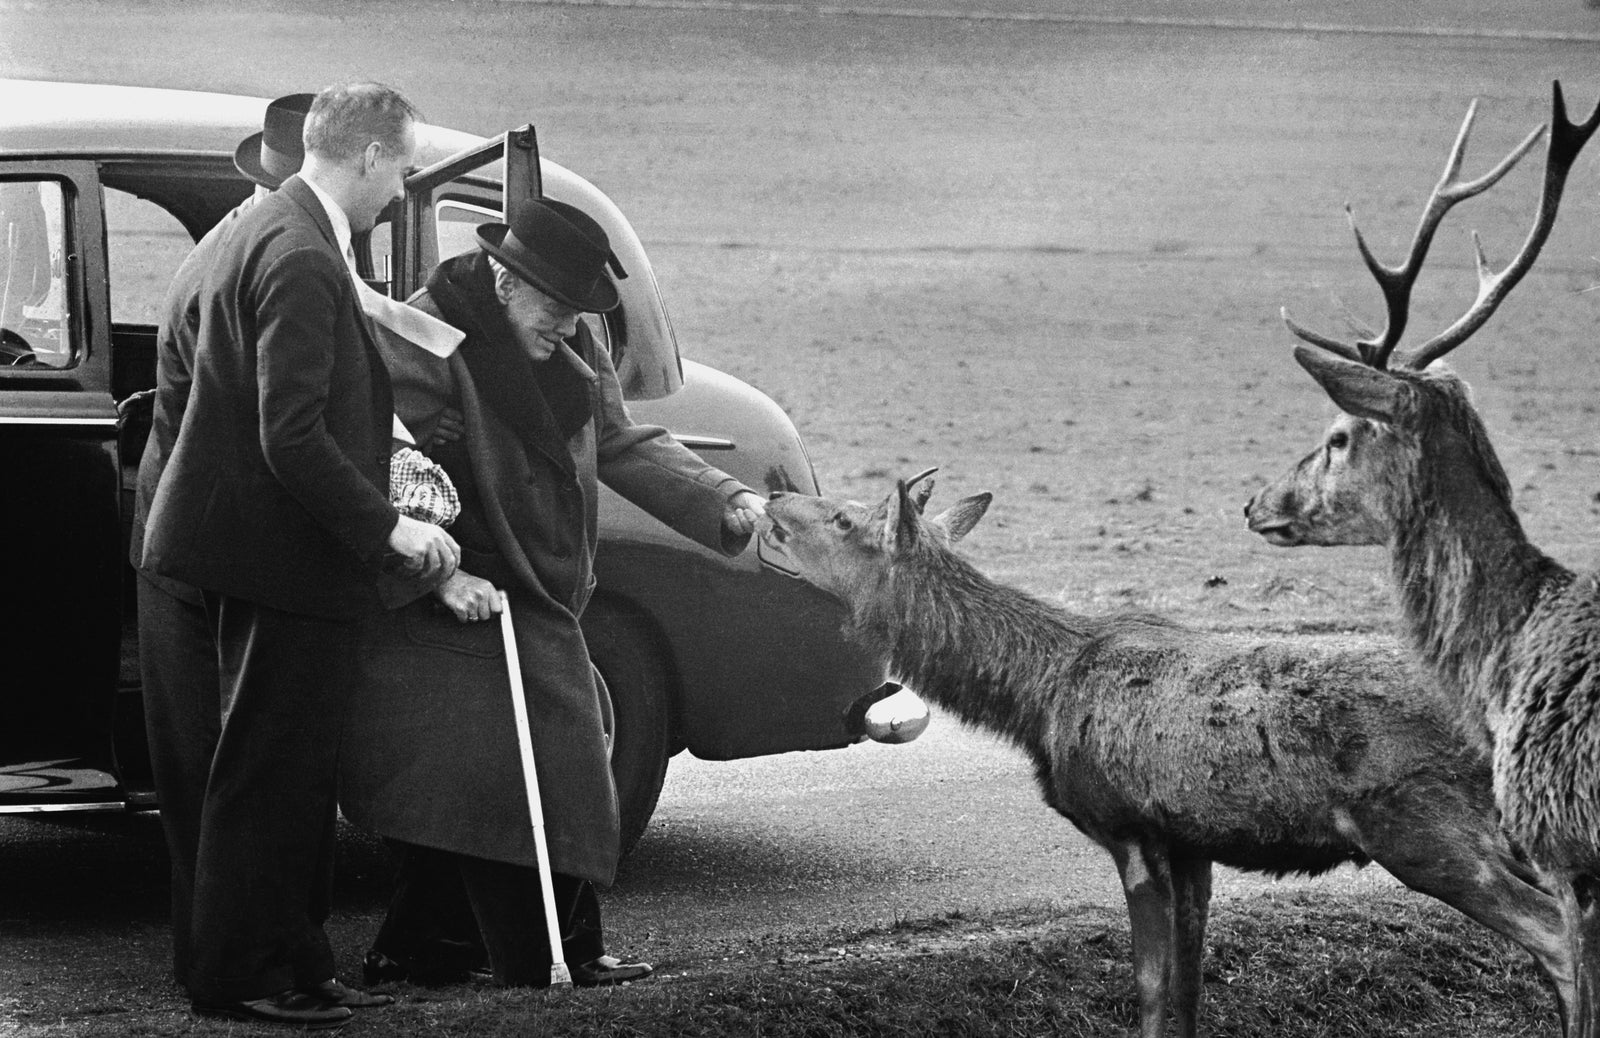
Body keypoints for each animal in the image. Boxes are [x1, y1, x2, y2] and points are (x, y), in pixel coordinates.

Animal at [762, 472, 1576, 1038]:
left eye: (842, 518)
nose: (773, 498)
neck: (1035, 699)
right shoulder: (1192, 843)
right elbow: (1190, 985)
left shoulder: (1129, 829)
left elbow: (1149, 987)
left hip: (1427, 831)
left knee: (1559, 944)